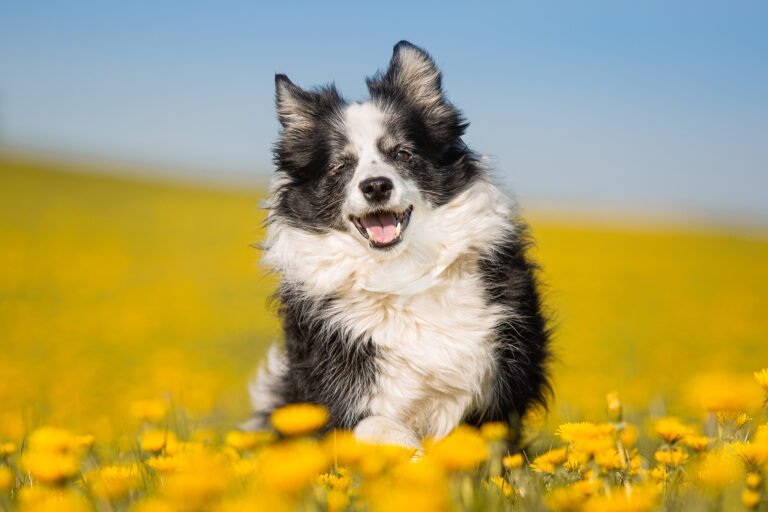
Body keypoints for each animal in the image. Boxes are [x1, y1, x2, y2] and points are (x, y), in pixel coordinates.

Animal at [252, 41, 552, 448]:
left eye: (402, 154)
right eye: (341, 166)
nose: (376, 186)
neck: (399, 271)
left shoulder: (498, 383)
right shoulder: (344, 391)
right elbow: (386, 430)